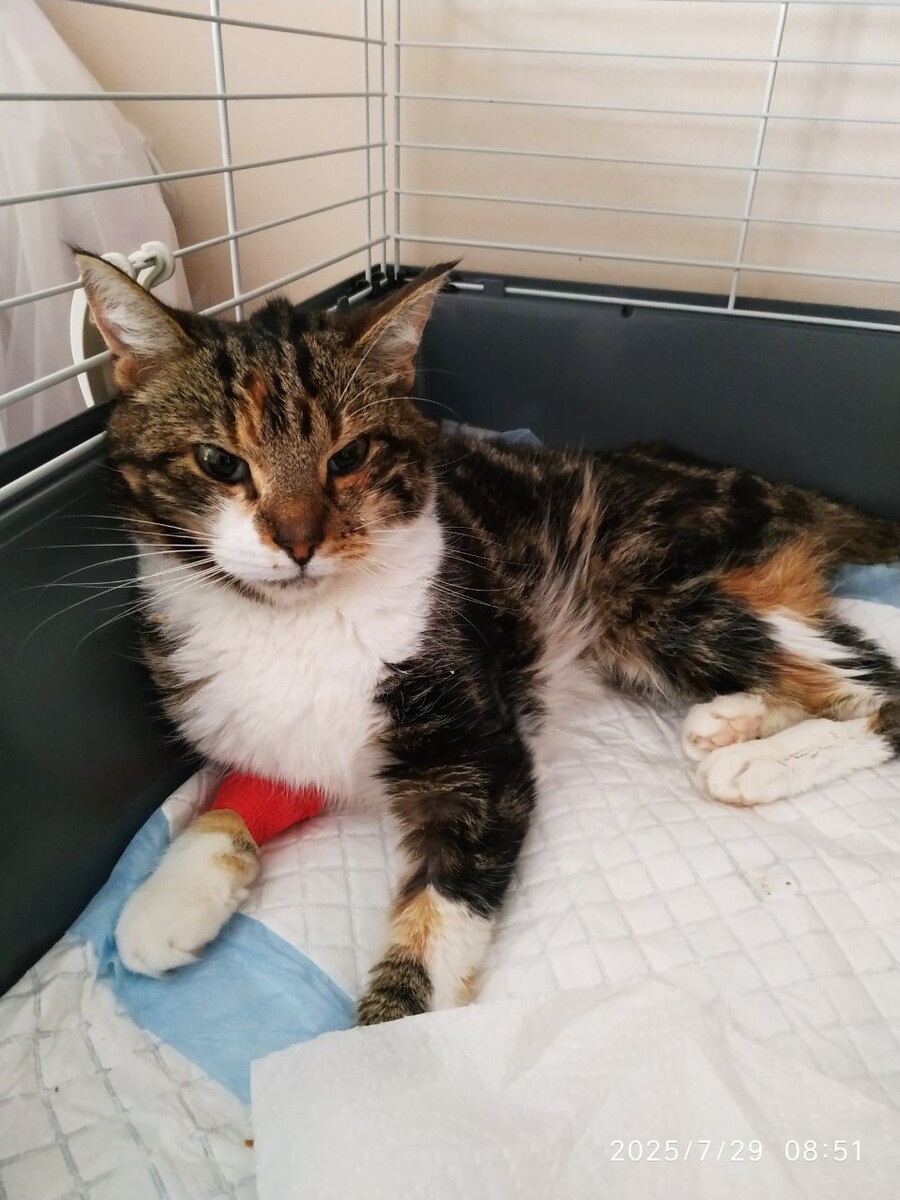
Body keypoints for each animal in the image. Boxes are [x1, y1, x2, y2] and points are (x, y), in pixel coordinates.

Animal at [75, 251, 900, 1024]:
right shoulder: (269, 725)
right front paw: (168, 899)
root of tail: (770, 485)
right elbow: (243, 785)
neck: (297, 623)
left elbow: (442, 911)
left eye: (349, 457)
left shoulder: (479, 748)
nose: (299, 542)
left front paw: (385, 1047)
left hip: (648, 585)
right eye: (219, 461)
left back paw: (756, 763)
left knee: (877, 687)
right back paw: (732, 720)